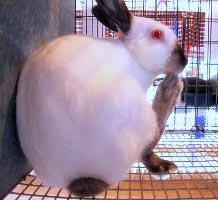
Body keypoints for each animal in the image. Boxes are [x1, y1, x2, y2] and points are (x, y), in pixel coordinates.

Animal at [16, 0, 187, 197]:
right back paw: (171, 89)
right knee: (148, 143)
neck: (131, 55)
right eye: (157, 34)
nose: (185, 61)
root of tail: (73, 181)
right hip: (137, 118)